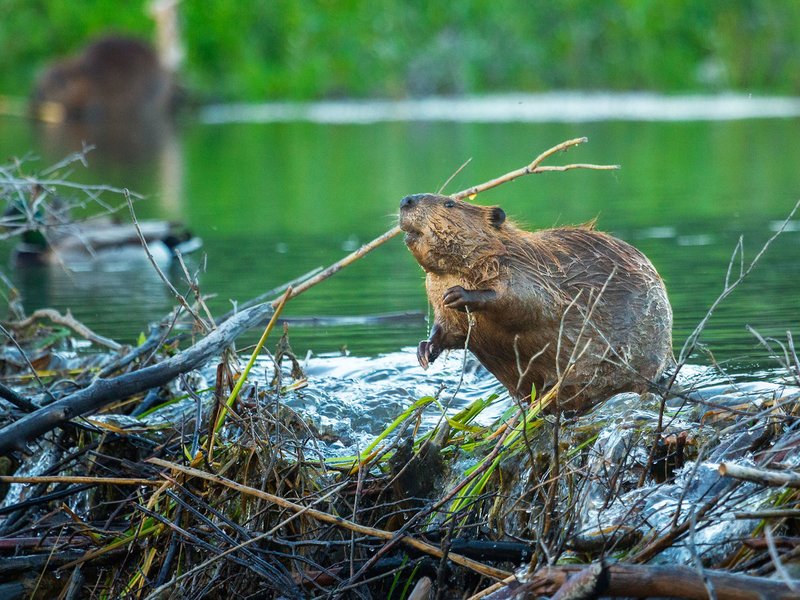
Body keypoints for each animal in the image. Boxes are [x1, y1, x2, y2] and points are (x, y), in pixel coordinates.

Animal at [400, 192, 676, 408]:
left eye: (449, 204)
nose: (406, 200)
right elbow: (449, 329)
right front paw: (424, 350)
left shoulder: (525, 270)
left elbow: (528, 302)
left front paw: (459, 294)